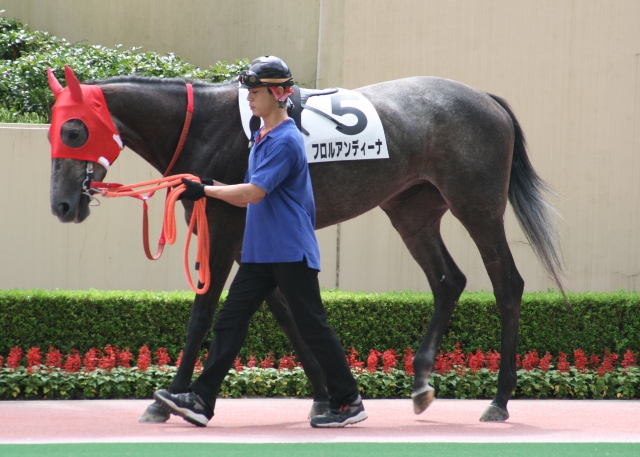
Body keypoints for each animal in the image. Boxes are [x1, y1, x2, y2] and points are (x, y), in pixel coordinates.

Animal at [48, 68, 565, 423]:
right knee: (447, 280)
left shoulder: (225, 227)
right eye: (53, 132)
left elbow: (204, 314)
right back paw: (421, 382)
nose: (62, 204)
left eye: (73, 130)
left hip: (476, 206)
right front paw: (328, 395)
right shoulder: (256, 239)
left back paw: (499, 399)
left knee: (507, 284)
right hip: (411, 210)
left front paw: (170, 399)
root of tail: (487, 100)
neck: (205, 126)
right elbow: (286, 312)